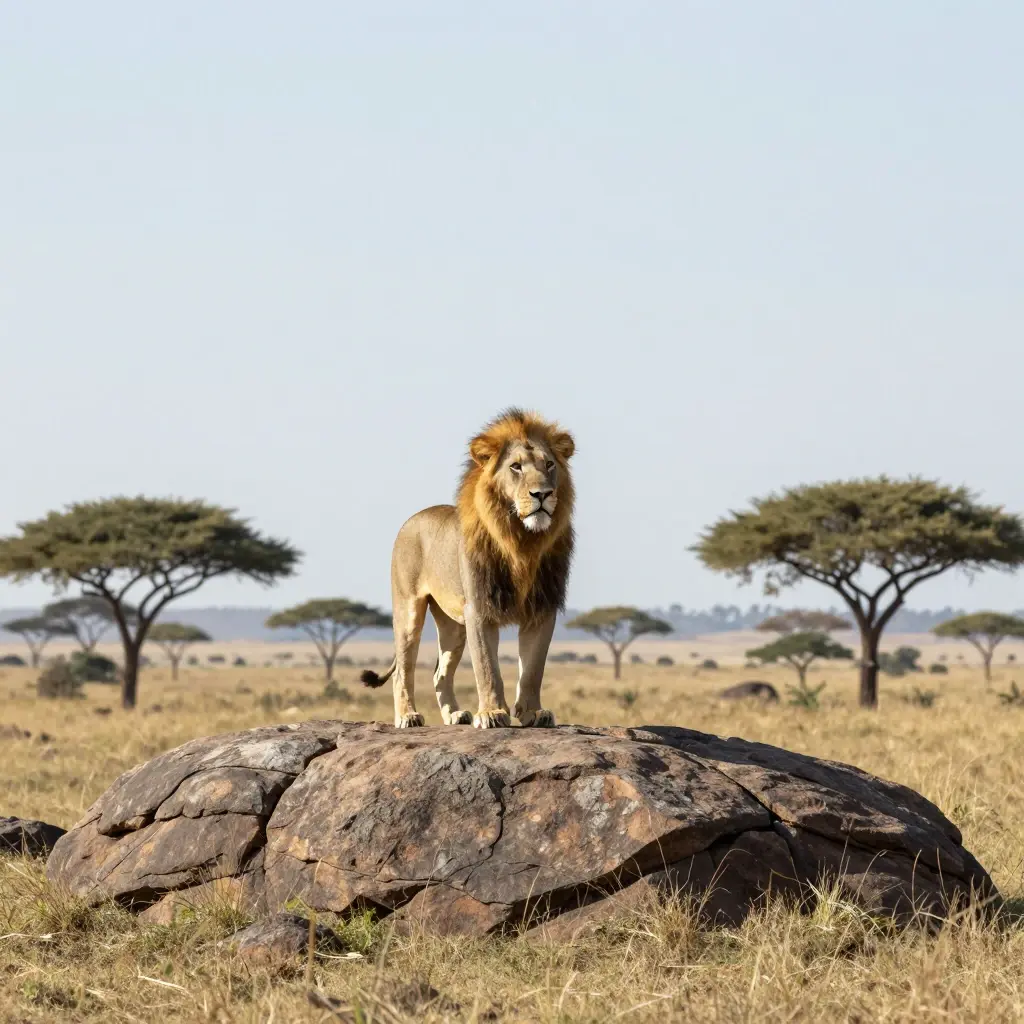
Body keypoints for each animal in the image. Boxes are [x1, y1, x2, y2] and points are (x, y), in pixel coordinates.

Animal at [362, 408, 575, 729]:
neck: (522, 541)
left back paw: (454, 715)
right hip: (409, 609)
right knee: (403, 669)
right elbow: (488, 669)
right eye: (515, 467)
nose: (543, 494)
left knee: (440, 673)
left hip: (453, 626)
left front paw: (533, 713)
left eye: (549, 464)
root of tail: (412, 519)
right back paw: (408, 716)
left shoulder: (542, 607)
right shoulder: (479, 608)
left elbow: (532, 670)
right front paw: (492, 713)